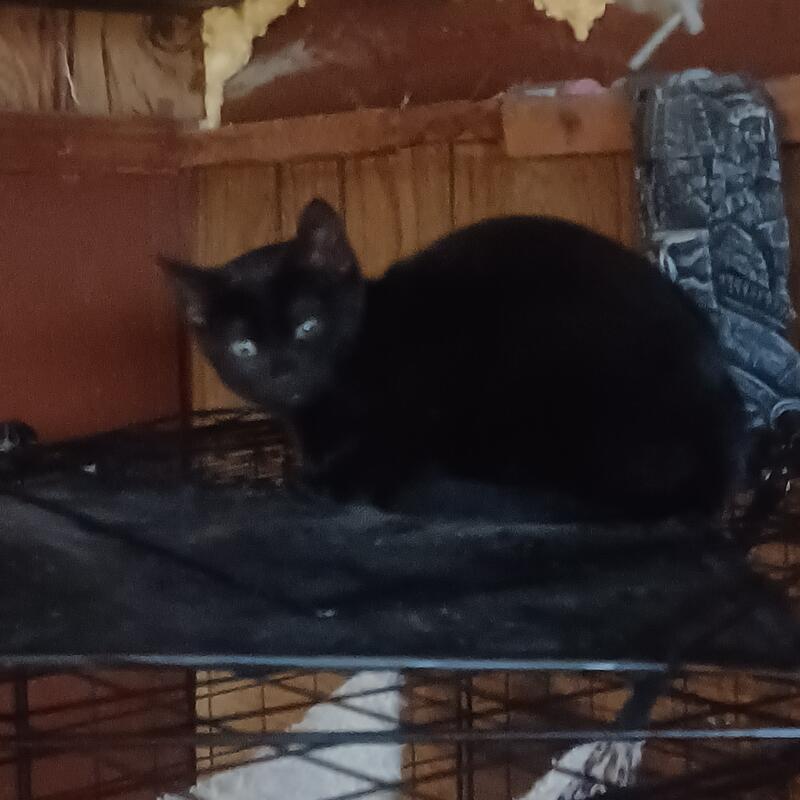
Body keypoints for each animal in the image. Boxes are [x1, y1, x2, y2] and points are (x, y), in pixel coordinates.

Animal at [162, 199, 747, 523]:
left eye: (308, 326)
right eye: (244, 348)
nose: (283, 370)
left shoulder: (414, 410)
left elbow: (374, 461)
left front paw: (323, 482)